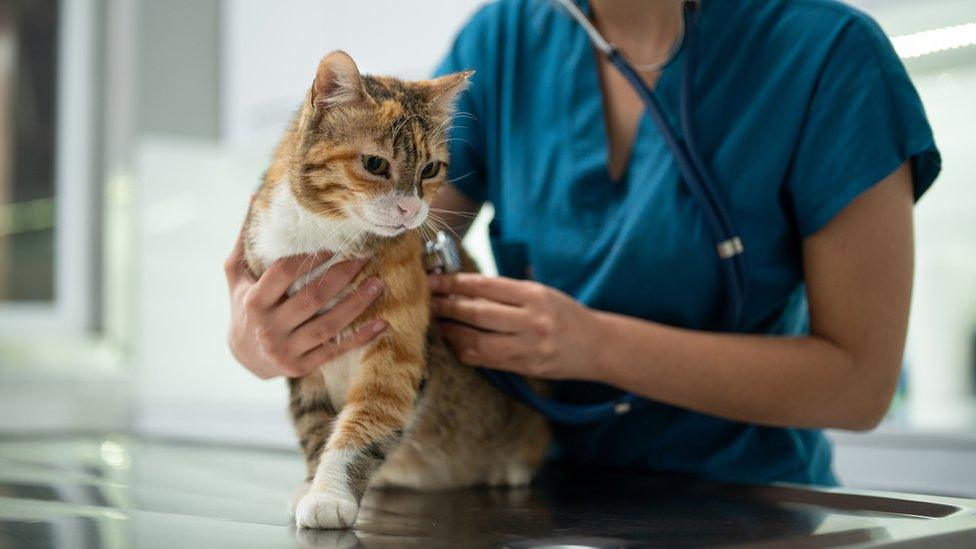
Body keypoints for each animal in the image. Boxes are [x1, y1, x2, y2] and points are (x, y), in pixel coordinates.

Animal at [241, 52, 552, 532]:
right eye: (374, 164)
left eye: (430, 169)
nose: (410, 209)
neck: (325, 239)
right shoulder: (299, 355)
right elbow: (314, 426)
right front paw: (311, 485)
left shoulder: (394, 353)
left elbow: (363, 424)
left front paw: (328, 495)